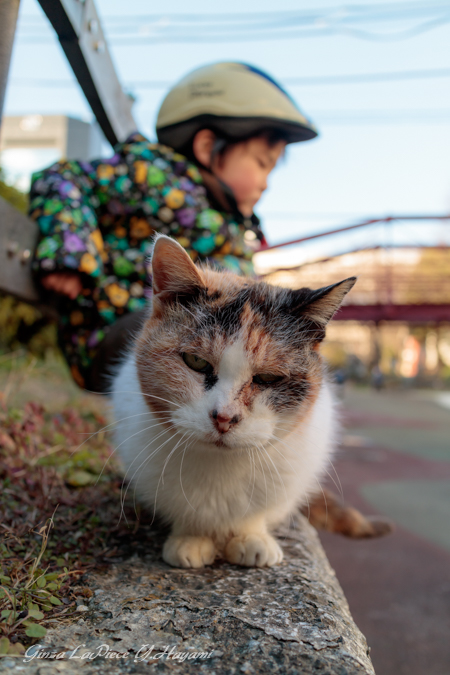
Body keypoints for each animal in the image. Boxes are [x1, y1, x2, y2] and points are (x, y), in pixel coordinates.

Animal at [111, 235, 356, 568]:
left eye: (267, 378)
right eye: (196, 362)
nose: (224, 417)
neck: (219, 466)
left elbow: (252, 516)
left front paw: (250, 538)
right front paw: (190, 539)